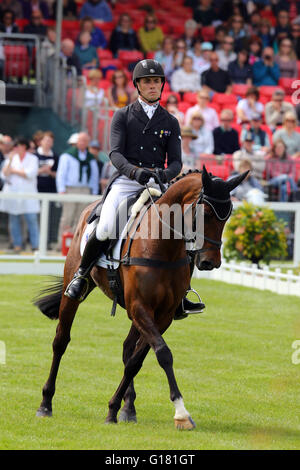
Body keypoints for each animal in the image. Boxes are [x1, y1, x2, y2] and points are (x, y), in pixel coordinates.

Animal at [34, 165, 247, 430]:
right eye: (205, 213)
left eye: (227, 216)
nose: (210, 262)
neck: (162, 245)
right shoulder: (140, 307)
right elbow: (163, 354)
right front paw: (181, 413)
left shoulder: (162, 315)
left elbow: (137, 360)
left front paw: (115, 409)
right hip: (76, 290)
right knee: (60, 341)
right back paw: (46, 403)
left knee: (127, 349)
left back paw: (129, 408)